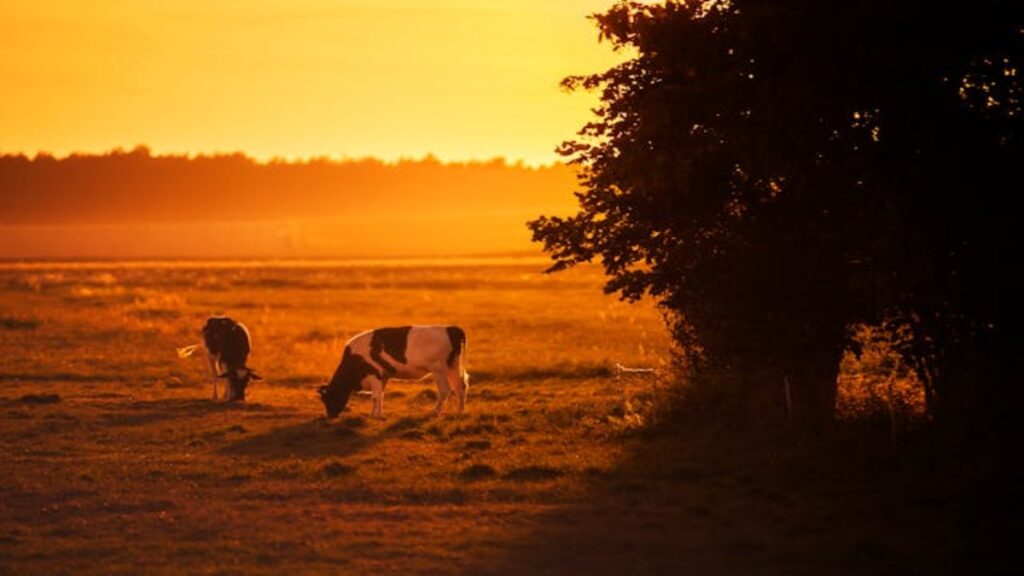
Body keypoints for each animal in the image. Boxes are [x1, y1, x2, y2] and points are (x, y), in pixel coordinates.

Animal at [317, 323, 468, 416]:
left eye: (329, 397)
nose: (330, 416)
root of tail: (450, 328)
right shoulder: (383, 376)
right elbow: (380, 396)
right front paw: (375, 413)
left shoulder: (375, 375)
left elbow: (375, 396)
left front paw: (376, 415)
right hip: (453, 366)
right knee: (460, 386)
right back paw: (459, 412)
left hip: (438, 369)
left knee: (445, 390)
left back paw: (435, 412)